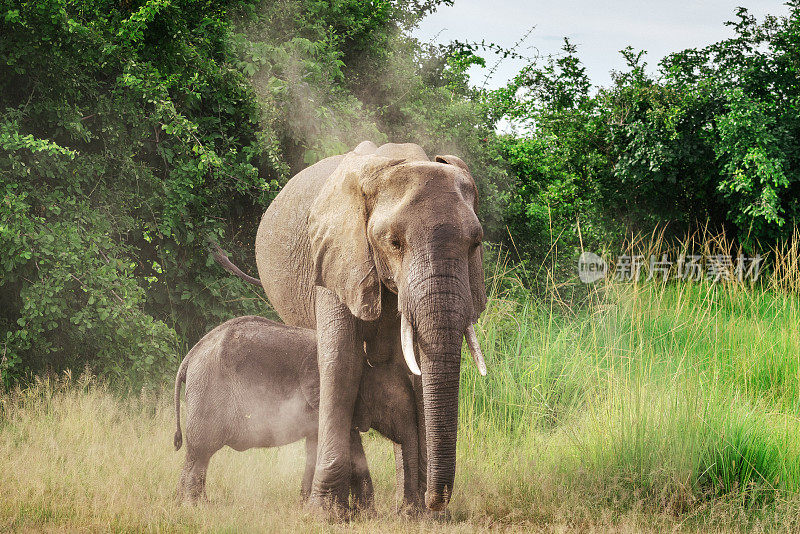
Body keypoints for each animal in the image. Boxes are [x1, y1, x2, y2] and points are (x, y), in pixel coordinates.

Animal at [173, 316, 422, 512]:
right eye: (391, 407)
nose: (403, 511)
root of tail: (189, 357)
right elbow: (351, 446)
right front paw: (366, 513)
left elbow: (315, 446)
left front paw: (304, 504)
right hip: (208, 393)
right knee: (201, 451)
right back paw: (194, 506)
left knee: (197, 454)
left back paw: (187, 503)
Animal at [256, 141, 488, 516]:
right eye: (393, 243)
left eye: (475, 244)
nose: (436, 501)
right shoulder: (337, 259)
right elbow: (341, 364)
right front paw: (326, 514)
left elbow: (416, 373)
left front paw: (421, 515)